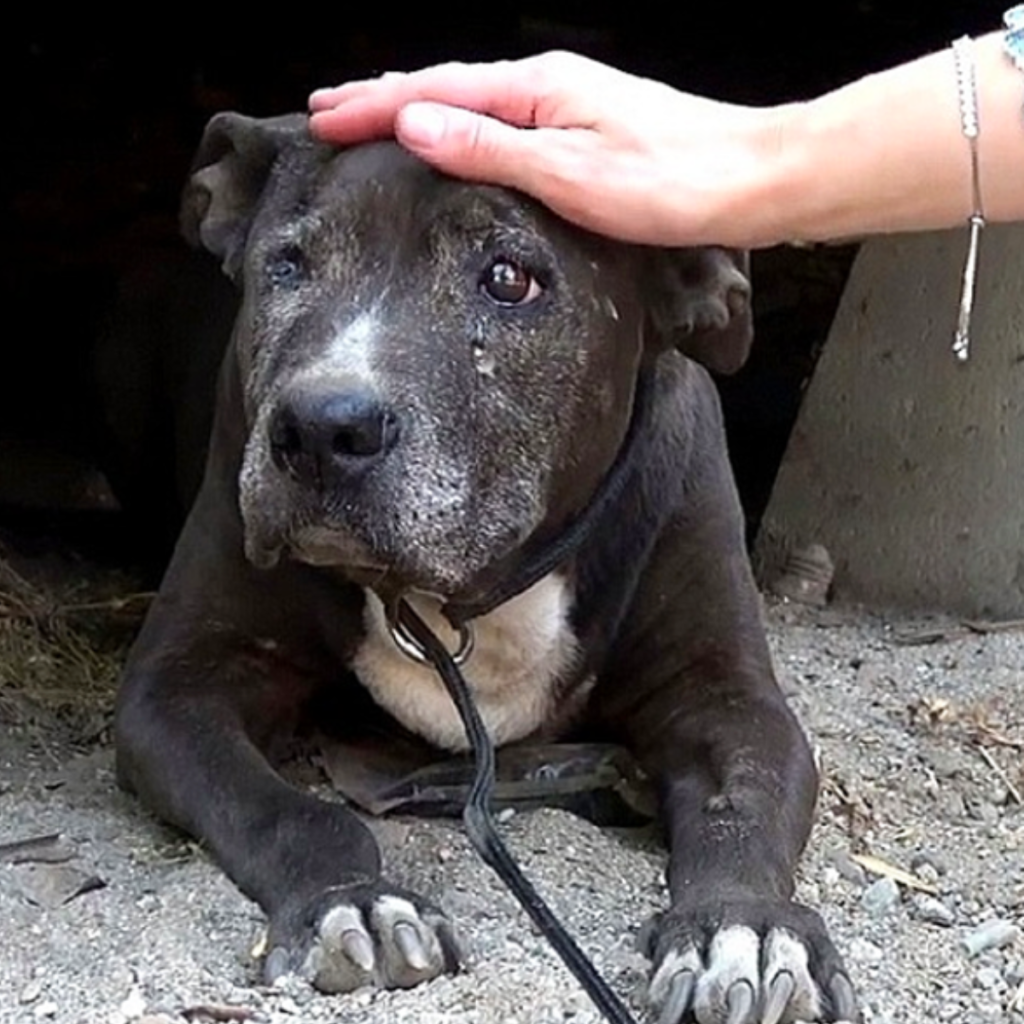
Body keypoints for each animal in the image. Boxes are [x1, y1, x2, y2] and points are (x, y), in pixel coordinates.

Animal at [116, 114, 860, 1024]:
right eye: (286, 264)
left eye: (509, 278)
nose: (322, 427)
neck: (468, 594)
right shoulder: (176, 686)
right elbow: (285, 811)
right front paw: (352, 900)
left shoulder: (723, 693)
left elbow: (740, 803)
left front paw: (742, 925)